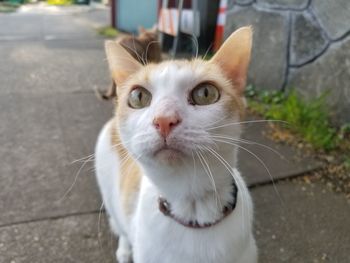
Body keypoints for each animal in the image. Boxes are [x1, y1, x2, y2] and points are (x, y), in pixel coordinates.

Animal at [94, 25, 258, 262]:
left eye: (205, 93)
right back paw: (124, 251)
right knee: (121, 226)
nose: (164, 120)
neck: (193, 208)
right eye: (138, 97)